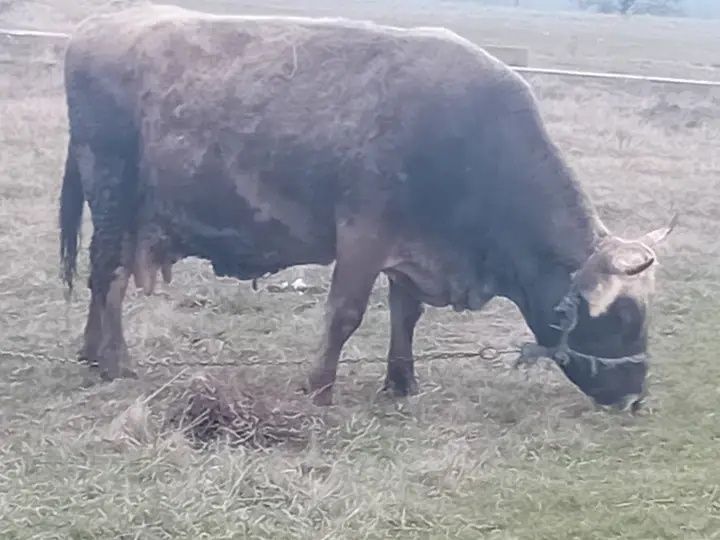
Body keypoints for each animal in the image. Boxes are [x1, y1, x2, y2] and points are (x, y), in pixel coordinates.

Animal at [59, 5, 675, 409]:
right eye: (624, 318)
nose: (635, 399)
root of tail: (98, 26)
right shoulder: (362, 235)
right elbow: (345, 314)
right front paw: (319, 388)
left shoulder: (413, 248)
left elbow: (406, 314)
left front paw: (401, 382)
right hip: (112, 191)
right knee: (107, 275)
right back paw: (112, 361)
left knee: (101, 276)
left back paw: (91, 353)